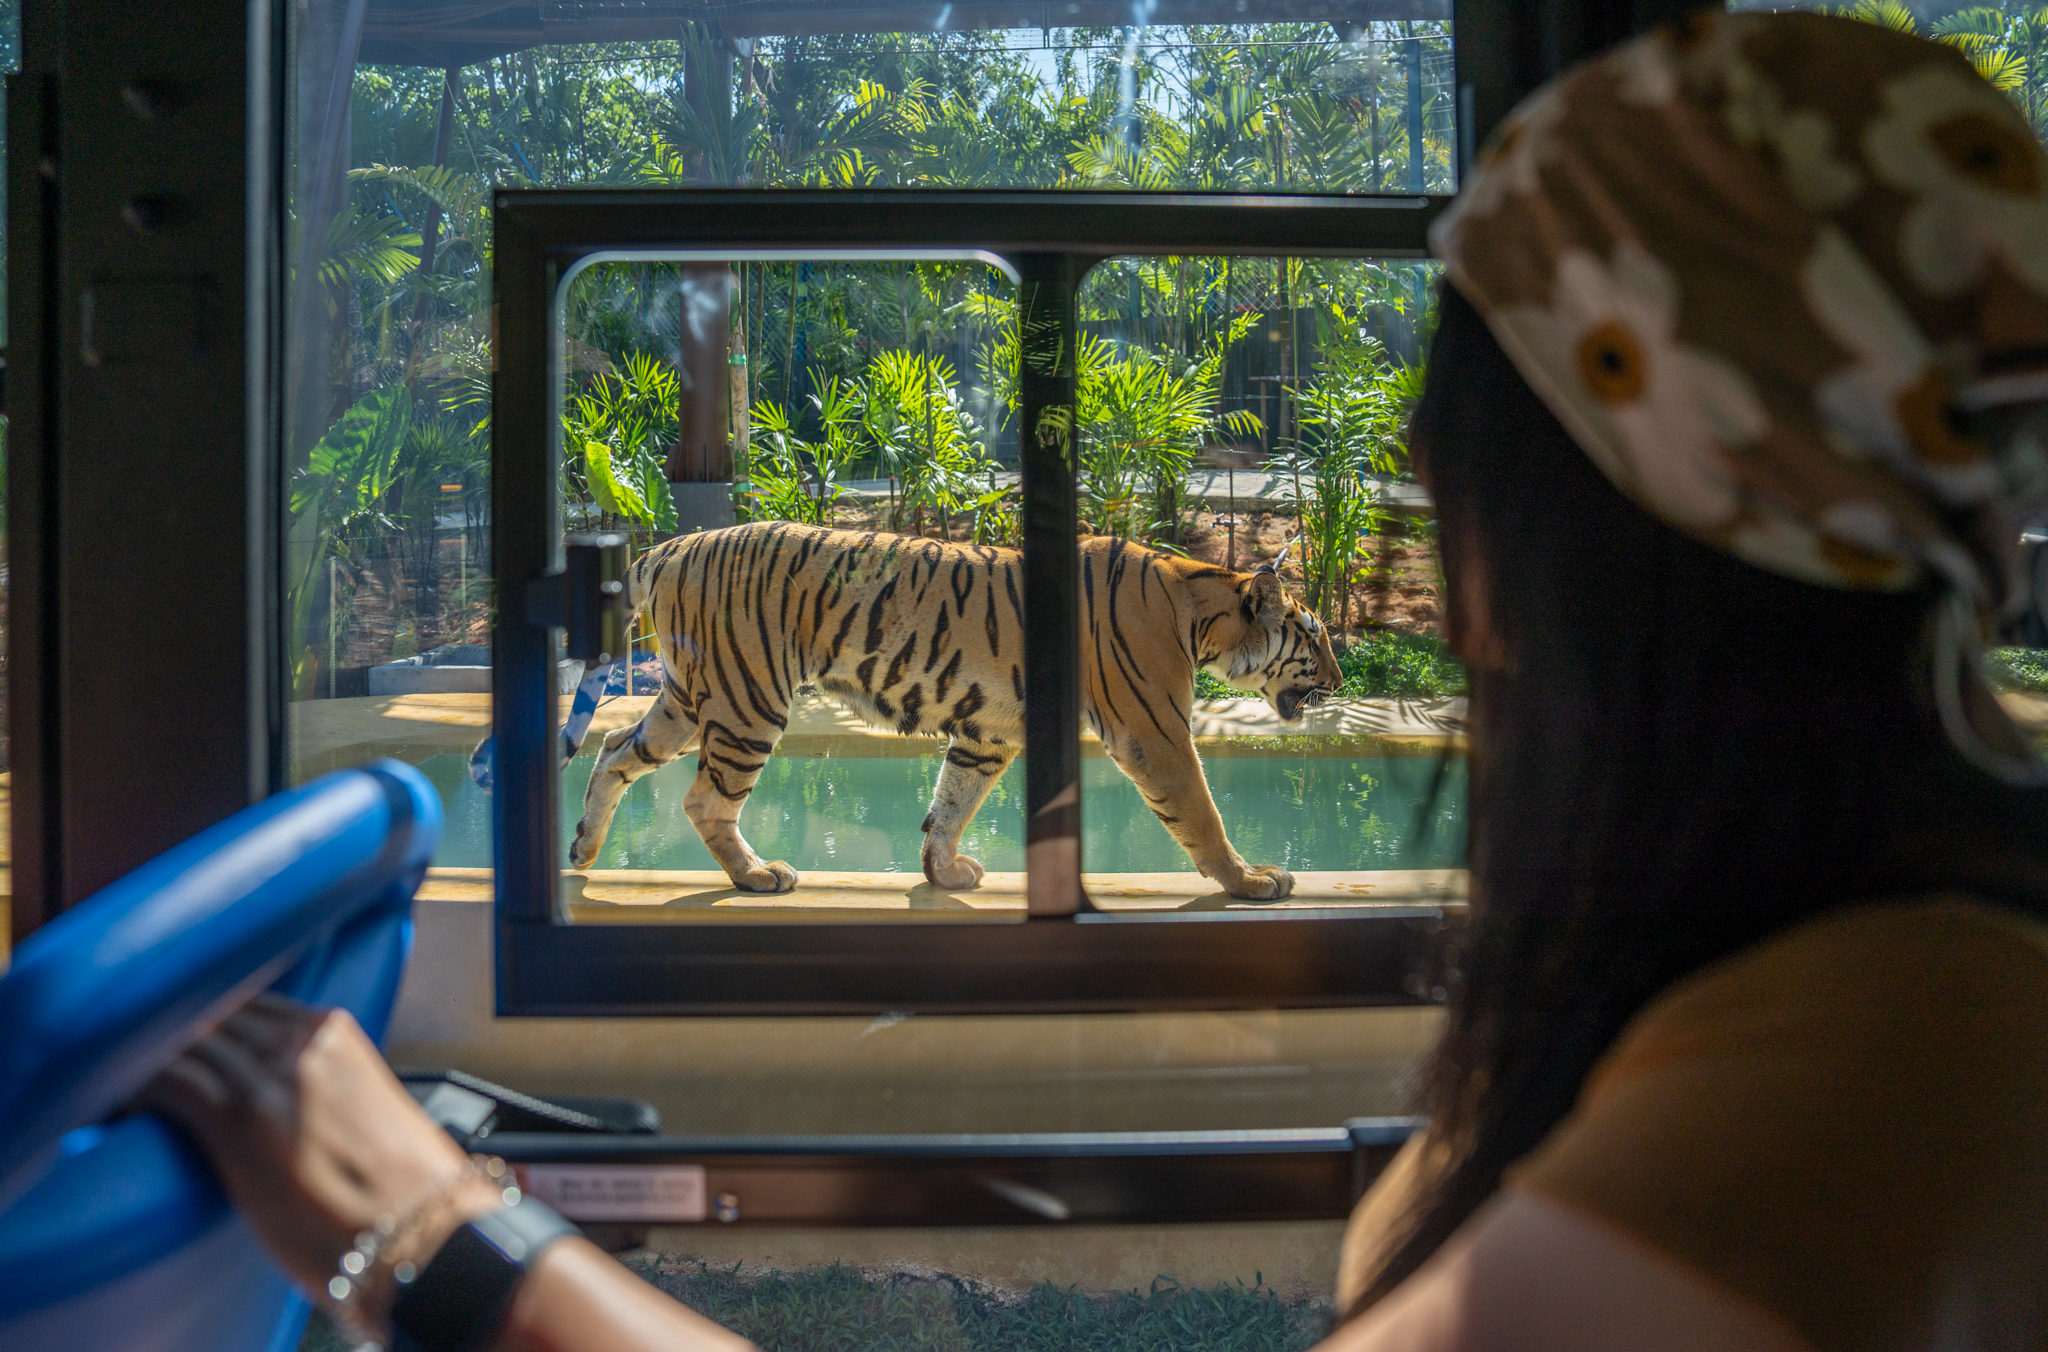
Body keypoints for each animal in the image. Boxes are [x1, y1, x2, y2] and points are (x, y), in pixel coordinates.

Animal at [567, 521, 1340, 900]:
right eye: (1315, 636)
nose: (1337, 680)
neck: (1198, 611)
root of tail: (673, 544)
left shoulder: (987, 732)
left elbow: (952, 802)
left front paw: (943, 873)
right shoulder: (1155, 731)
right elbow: (1202, 814)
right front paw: (1252, 881)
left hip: (691, 696)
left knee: (613, 748)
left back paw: (583, 850)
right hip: (746, 699)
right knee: (704, 798)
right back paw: (757, 876)